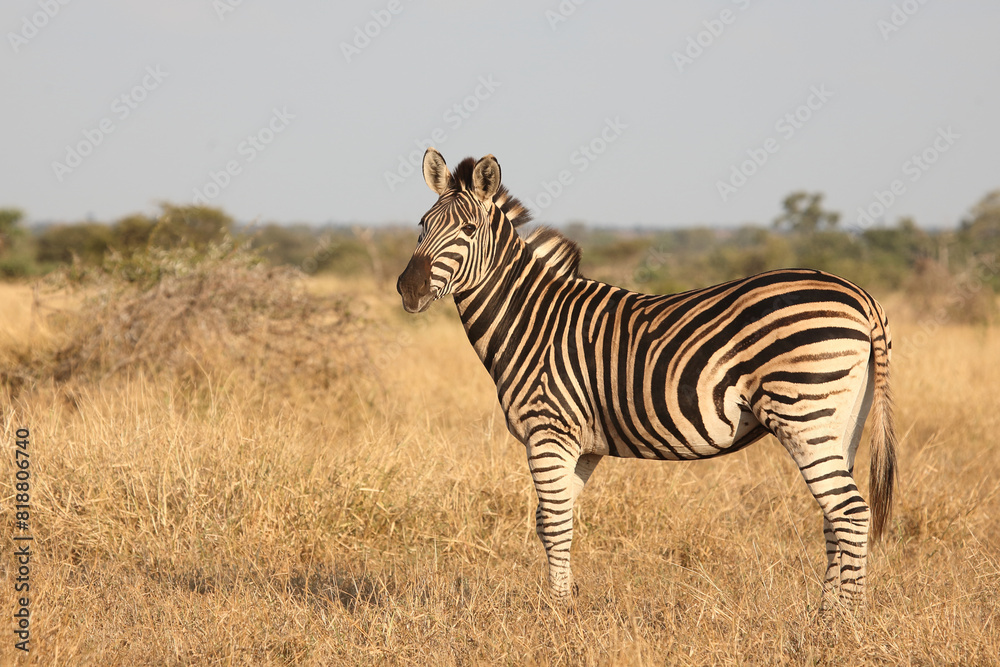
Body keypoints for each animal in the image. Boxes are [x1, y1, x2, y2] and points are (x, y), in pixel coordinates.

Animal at [396, 148, 897, 610]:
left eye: (468, 231)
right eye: (422, 225)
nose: (409, 289)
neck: (532, 320)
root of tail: (860, 296)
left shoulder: (548, 431)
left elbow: (552, 524)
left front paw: (556, 612)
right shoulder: (583, 445)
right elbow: (558, 520)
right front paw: (567, 603)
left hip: (804, 414)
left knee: (850, 512)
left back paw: (843, 623)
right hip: (841, 420)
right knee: (835, 514)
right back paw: (826, 613)